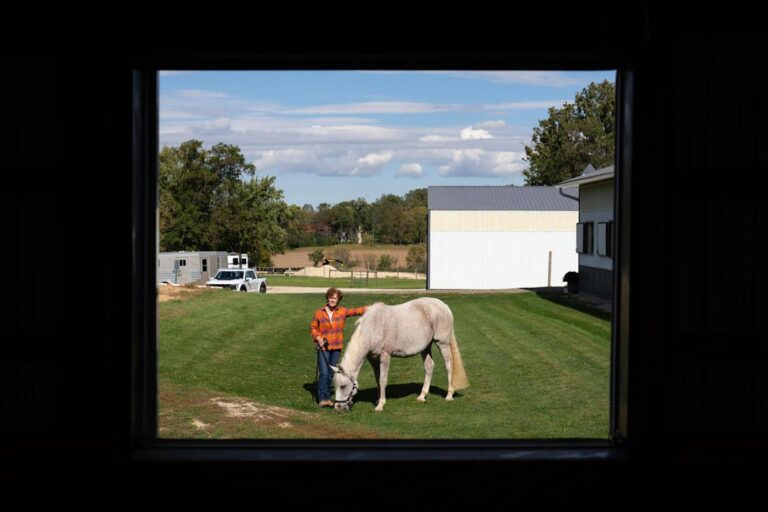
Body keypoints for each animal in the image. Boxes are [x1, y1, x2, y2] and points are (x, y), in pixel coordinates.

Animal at [331, 297, 469, 412]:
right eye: (335, 385)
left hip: (442, 344)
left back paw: (449, 395)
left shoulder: (385, 356)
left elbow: (382, 379)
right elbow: (377, 378)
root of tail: (444, 306)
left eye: (343, 386)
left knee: (449, 366)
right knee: (429, 366)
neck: (373, 327)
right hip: (426, 347)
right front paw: (377, 400)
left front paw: (381, 405)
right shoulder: (373, 358)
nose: (338, 407)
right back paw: (422, 396)